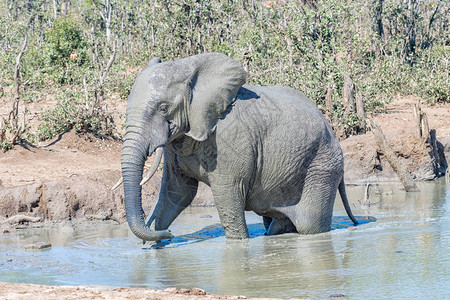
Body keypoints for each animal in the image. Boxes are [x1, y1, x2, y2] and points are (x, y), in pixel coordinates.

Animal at [119, 52, 358, 243]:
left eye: (163, 108)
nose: (170, 234)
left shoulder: (230, 141)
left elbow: (227, 193)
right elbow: (177, 193)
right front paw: (155, 246)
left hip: (322, 168)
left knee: (310, 225)